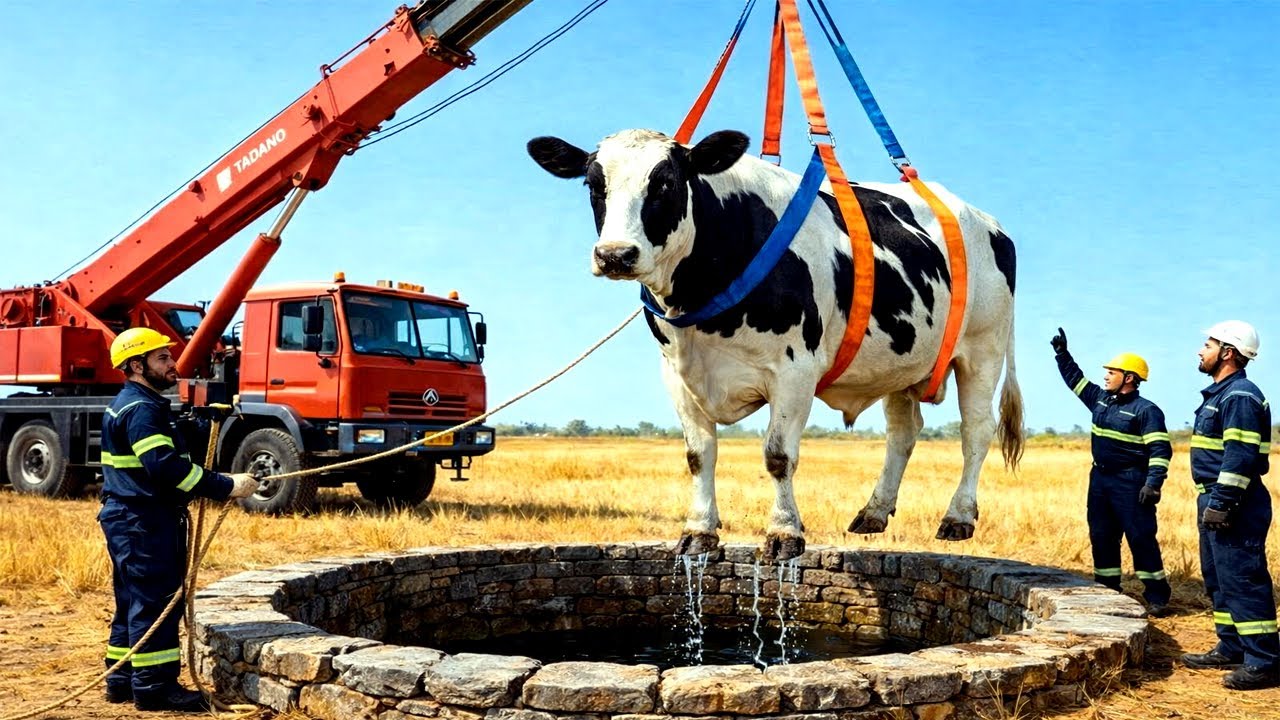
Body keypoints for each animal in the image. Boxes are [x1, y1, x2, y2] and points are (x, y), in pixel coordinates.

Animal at [527, 129, 1023, 562]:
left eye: (665, 181)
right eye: (593, 184)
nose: (615, 255)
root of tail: (990, 223)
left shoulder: (794, 371)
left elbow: (778, 456)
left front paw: (784, 531)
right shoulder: (677, 375)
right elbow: (698, 455)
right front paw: (699, 530)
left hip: (983, 349)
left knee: (976, 431)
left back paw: (959, 517)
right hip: (902, 362)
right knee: (904, 431)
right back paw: (874, 511)